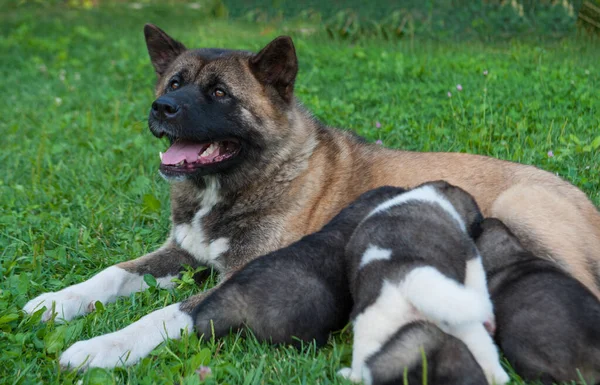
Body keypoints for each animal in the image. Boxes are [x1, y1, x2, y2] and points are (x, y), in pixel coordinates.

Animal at [338, 181, 506, 384]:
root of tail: (405, 279)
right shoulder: (471, 255)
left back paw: (350, 374)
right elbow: (479, 283)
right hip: (462, 324)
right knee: (484, 351)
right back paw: (498, 375)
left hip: (374, 333)